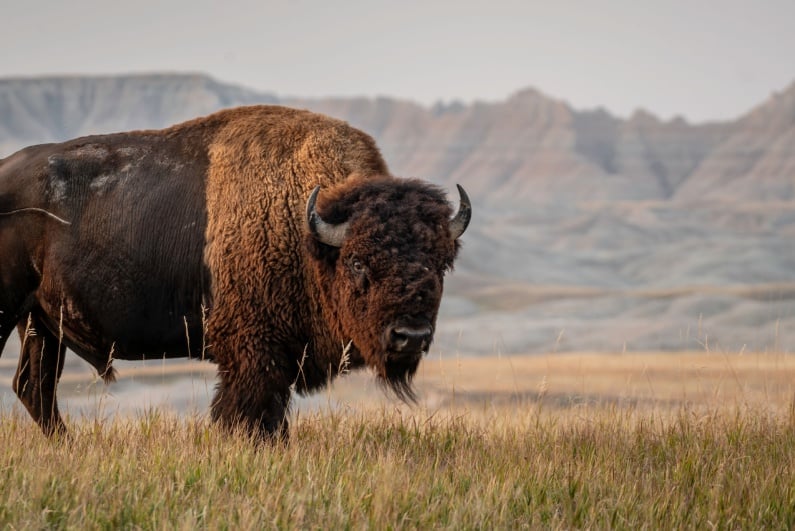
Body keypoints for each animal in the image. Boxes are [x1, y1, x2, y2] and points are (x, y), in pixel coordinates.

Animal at [0, 105, 471, 440]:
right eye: (357, 262)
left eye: (440, 263)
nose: (410, 336)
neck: (305, 227)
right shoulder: (253, 356)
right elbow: (250, 415)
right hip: (13, 314)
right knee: (34, 388)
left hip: (41, 324)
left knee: (34, 388)